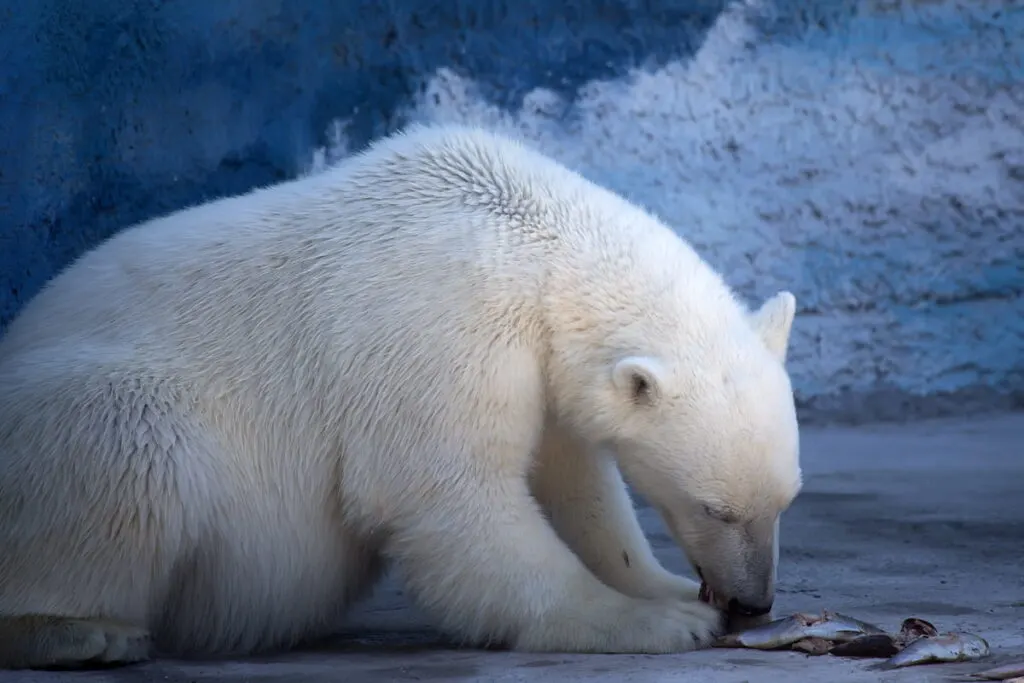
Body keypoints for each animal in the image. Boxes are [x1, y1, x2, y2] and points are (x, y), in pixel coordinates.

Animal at [0, 124, 802, 667]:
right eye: (715, 508)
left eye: (783, 501)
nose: (751, 601)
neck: (531, 240)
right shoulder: (442, 318)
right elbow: (442, 489)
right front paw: (654, 623)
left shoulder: (541, 366)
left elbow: (578, 486)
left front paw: (662, 589)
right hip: (94, 407)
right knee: (131, 438)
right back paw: (81, 631)